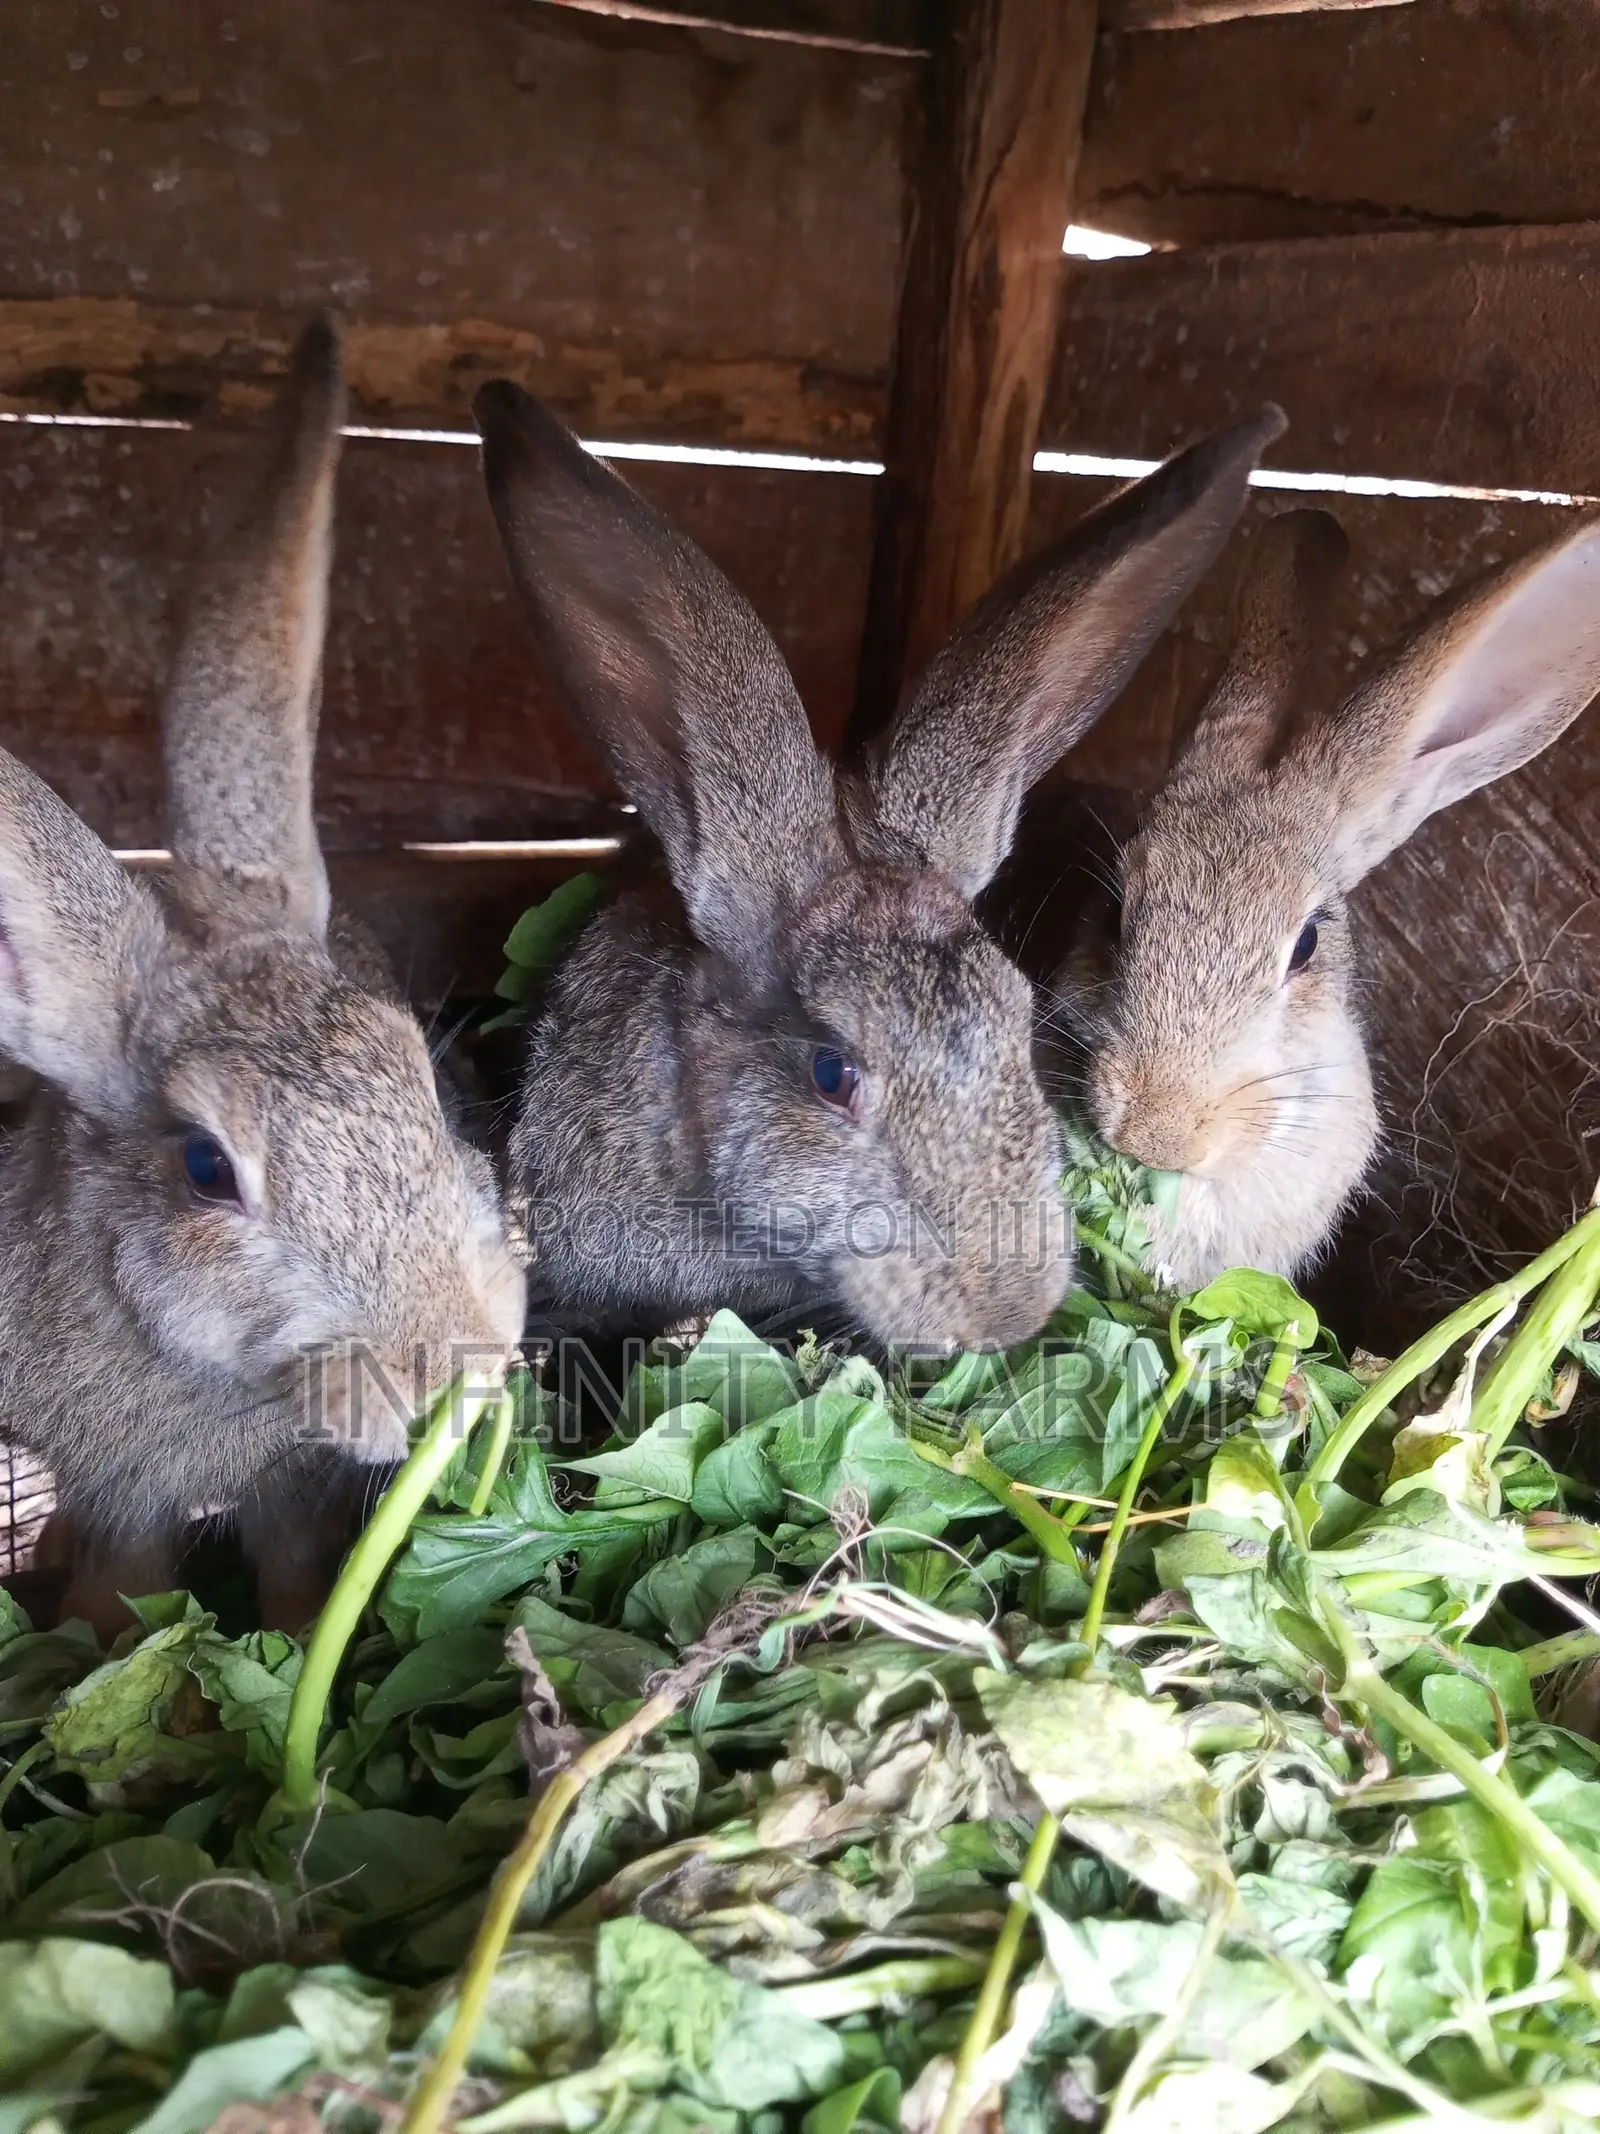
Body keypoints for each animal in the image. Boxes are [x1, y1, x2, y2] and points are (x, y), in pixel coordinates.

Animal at [0, 315, 526, 1635]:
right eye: (205, 1169)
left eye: (426, 1085)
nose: (448, 1358)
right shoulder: (120, 1487)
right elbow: (123, 1593)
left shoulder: (294, 1485)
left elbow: (294, 1566)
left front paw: (291, 1639)